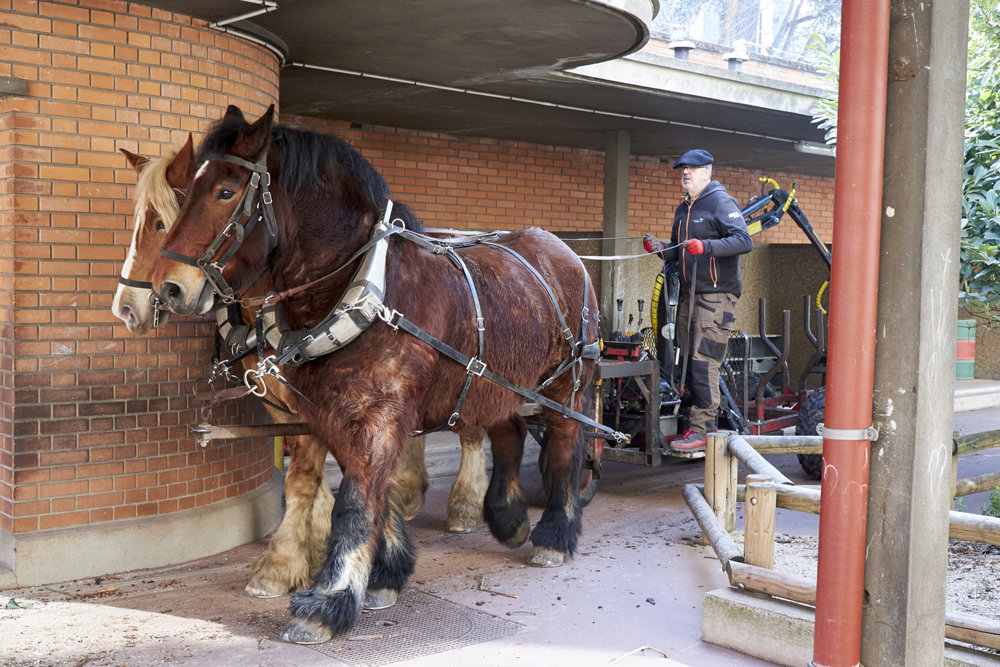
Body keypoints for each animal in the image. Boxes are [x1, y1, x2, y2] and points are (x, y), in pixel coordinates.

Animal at [152, 104, 596, 640]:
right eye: (186, 191)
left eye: (225, 191)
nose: (169, 288)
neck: (363, 286)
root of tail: (566, 251)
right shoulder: (330, 414)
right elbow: (367, 490)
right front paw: (386, 574)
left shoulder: (377, 416)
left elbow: (356, 499)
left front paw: (328, 599)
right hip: (494, 383)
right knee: (508, 431)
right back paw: (508, 520)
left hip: (568, 382)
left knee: (565, 446)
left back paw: (554, 534)